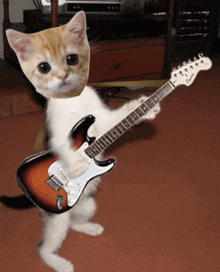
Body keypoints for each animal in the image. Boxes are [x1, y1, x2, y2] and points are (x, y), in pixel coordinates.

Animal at [4, 10, 161, 272]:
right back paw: (59, 262)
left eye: (72, 59)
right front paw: (76, 166)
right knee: (44, 247)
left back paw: (90, 227)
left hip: (88, 205)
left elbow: (114, 119)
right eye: (44, 67)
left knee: (75, 223)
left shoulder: (102, 119)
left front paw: (142, 108)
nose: (63, 75)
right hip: (57, 220)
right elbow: (65, 148)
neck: (72, 100)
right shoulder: (58, 130)